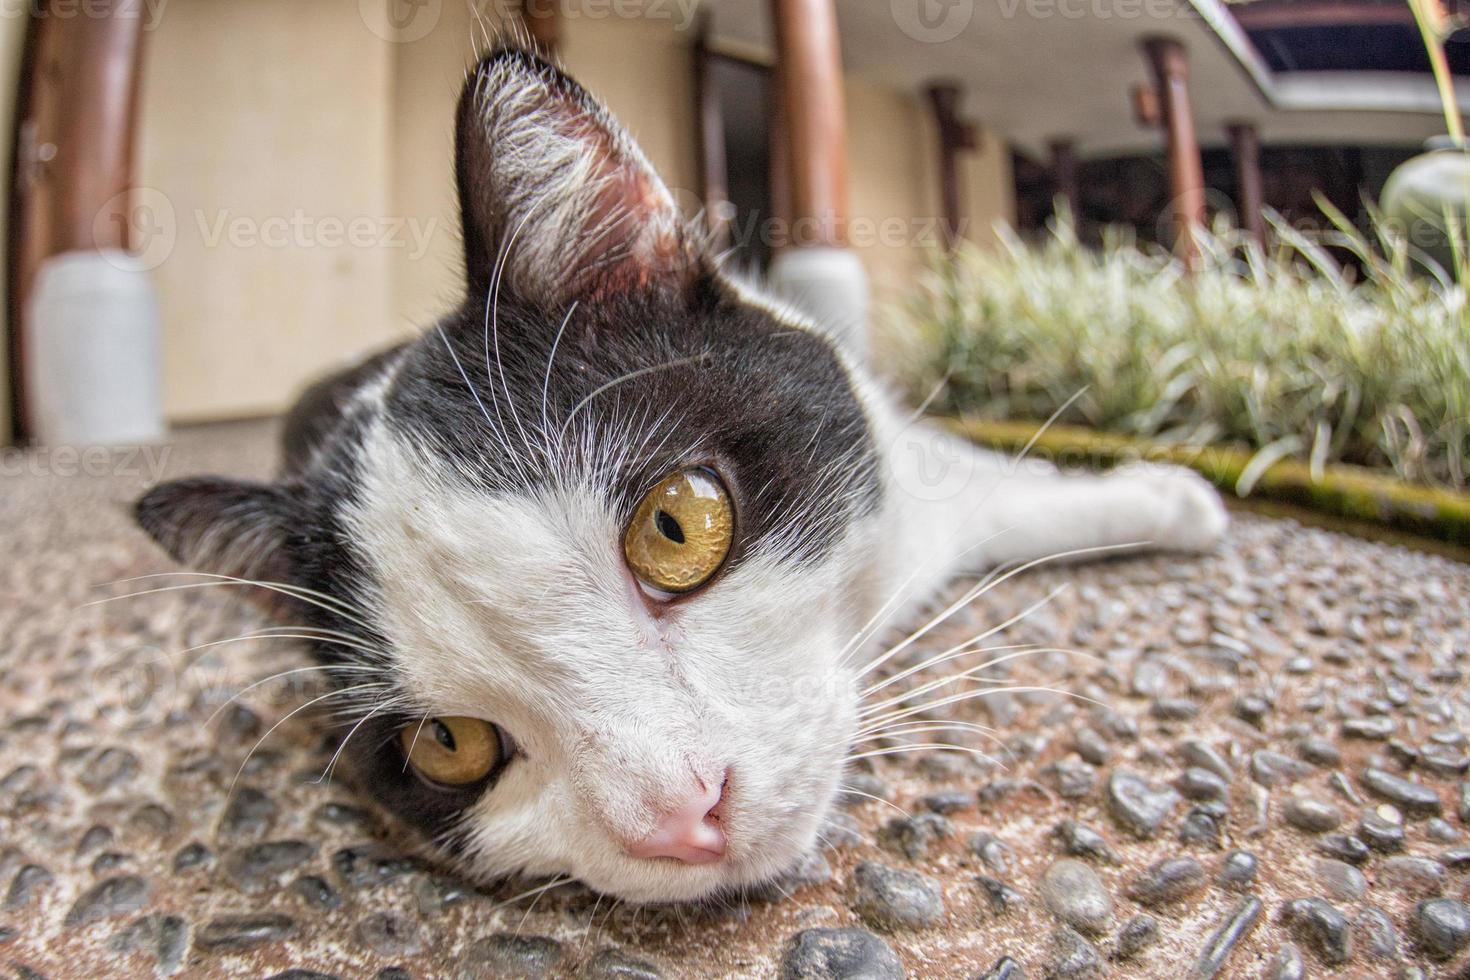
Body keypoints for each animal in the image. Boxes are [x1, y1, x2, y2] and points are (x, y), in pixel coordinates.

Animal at [132, 47, 1228, 905]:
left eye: (675, 527)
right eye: (448, 743)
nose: (679, 815)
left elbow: (973, 486)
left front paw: (1165, 498)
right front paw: (1167, 495)